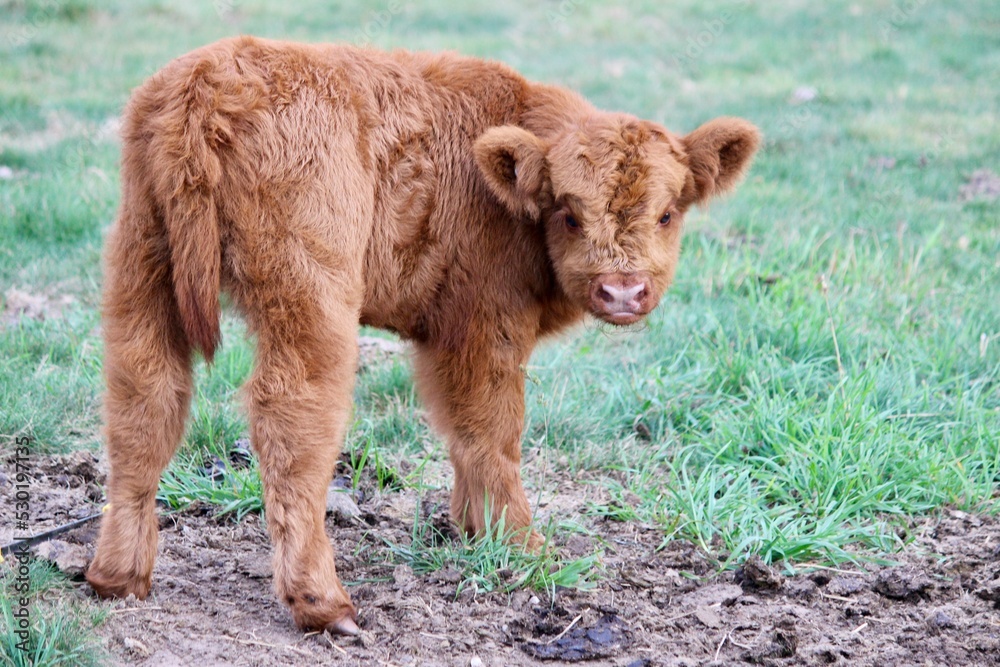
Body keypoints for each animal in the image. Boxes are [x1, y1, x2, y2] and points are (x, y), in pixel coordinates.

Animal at [86, 36, 756, 636]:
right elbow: (493, 431)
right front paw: (522, 545)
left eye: (667, 213)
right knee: (293, 425)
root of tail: (213, 77)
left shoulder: (445, 340)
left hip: (141, 266)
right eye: (568, 213)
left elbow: (461, 435)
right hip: (310, 299)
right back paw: (324, 604)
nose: (622, 291)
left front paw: (471, 531)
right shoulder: (484, 329)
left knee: (143, 404)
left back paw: (118, 577)